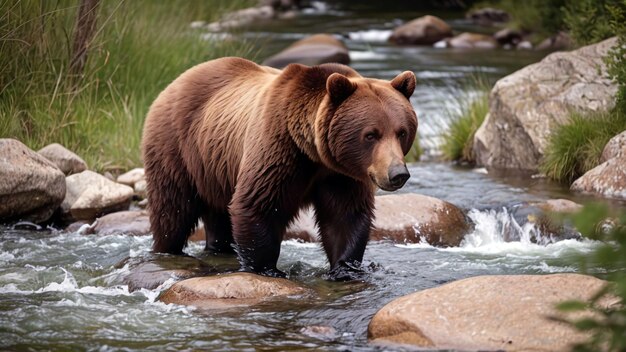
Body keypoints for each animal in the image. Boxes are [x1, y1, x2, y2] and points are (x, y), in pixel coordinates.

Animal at [141, 57, 414, 280]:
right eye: (370, 134)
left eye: (401, 132)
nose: (397, 174)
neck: (313, 152)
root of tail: (176, 81)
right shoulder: (278, 150)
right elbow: (257, 205)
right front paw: (268, 269)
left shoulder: (340, 175)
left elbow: (345, 216)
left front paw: (345, 268)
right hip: (177, 147)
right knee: (173, 208)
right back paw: (168, 250)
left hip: (214, 167)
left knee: (217, 214)